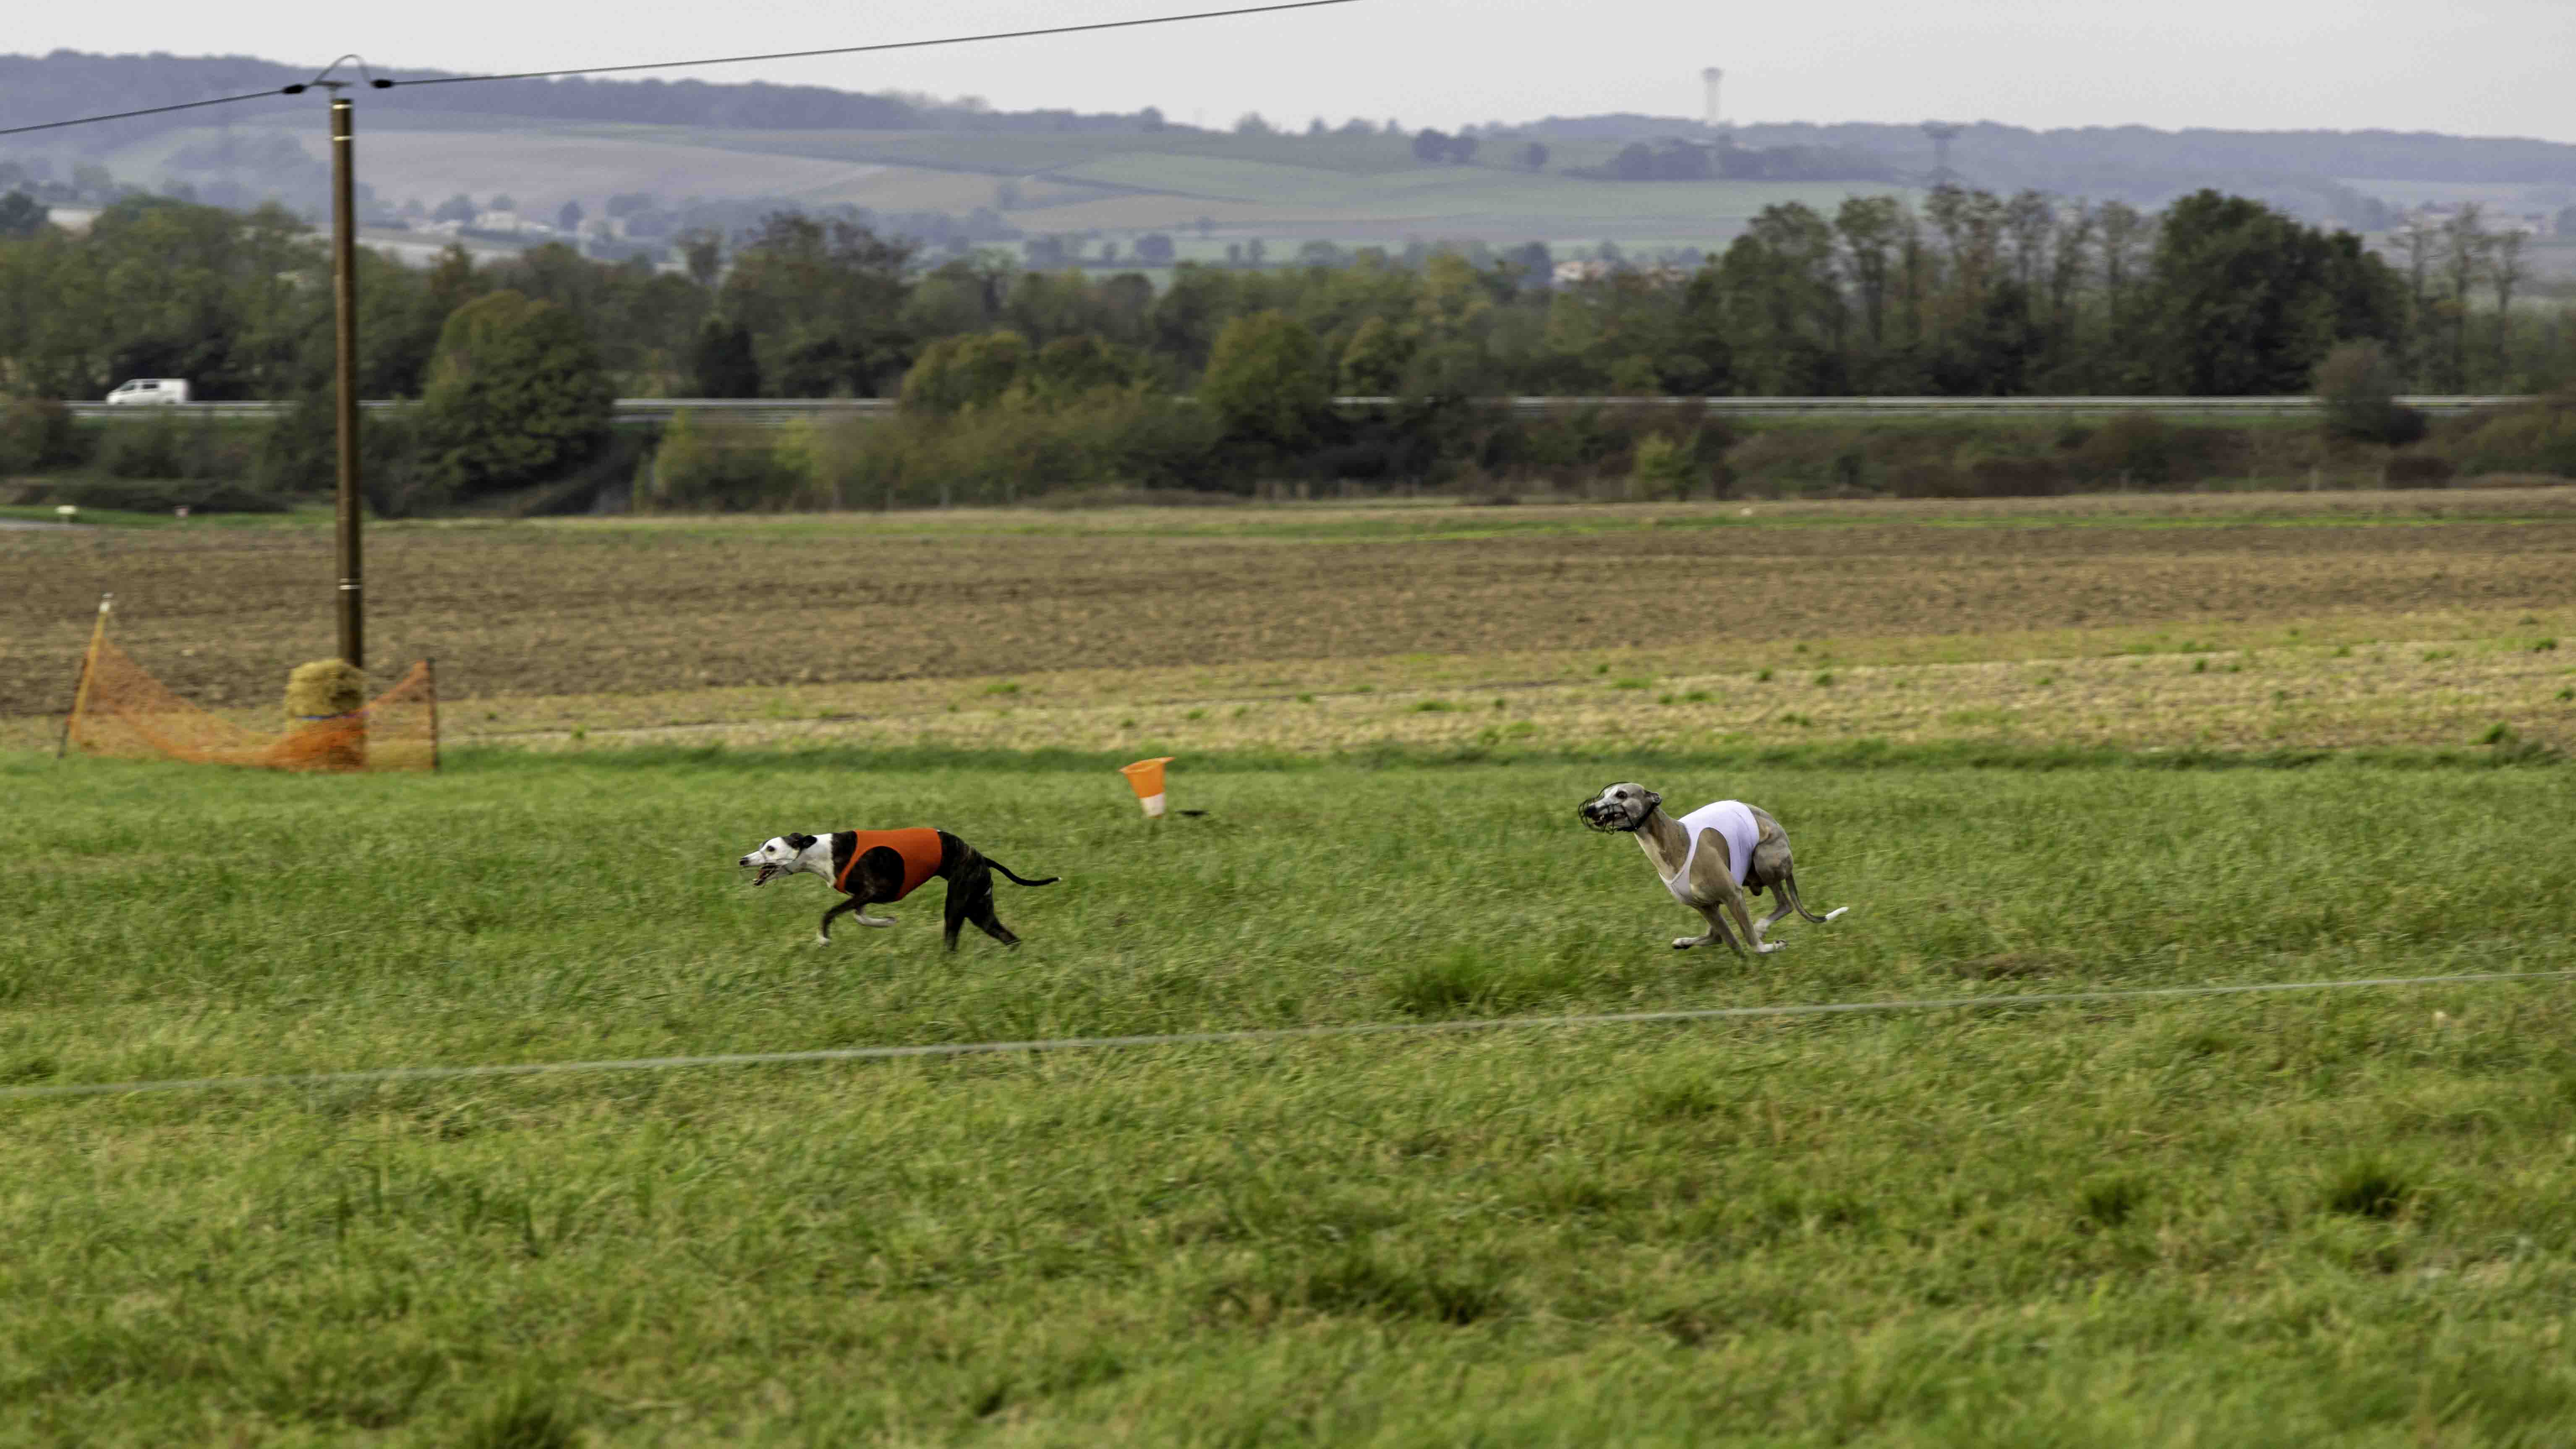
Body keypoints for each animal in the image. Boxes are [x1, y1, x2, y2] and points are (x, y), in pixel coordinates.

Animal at [1576, 787, 1844, 957]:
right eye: (1603, 795)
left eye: (1622, 794)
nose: (1590, 809)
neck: (1675, 841)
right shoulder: (1704, 906)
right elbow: (1732, 943)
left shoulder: (1733, 895)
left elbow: (1749, 942)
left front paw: (1769, 947)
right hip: (1725, 896)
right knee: (1717, 935)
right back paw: (1684, 942)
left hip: (1763, 858)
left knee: (1785, 904)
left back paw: (1762, 928)